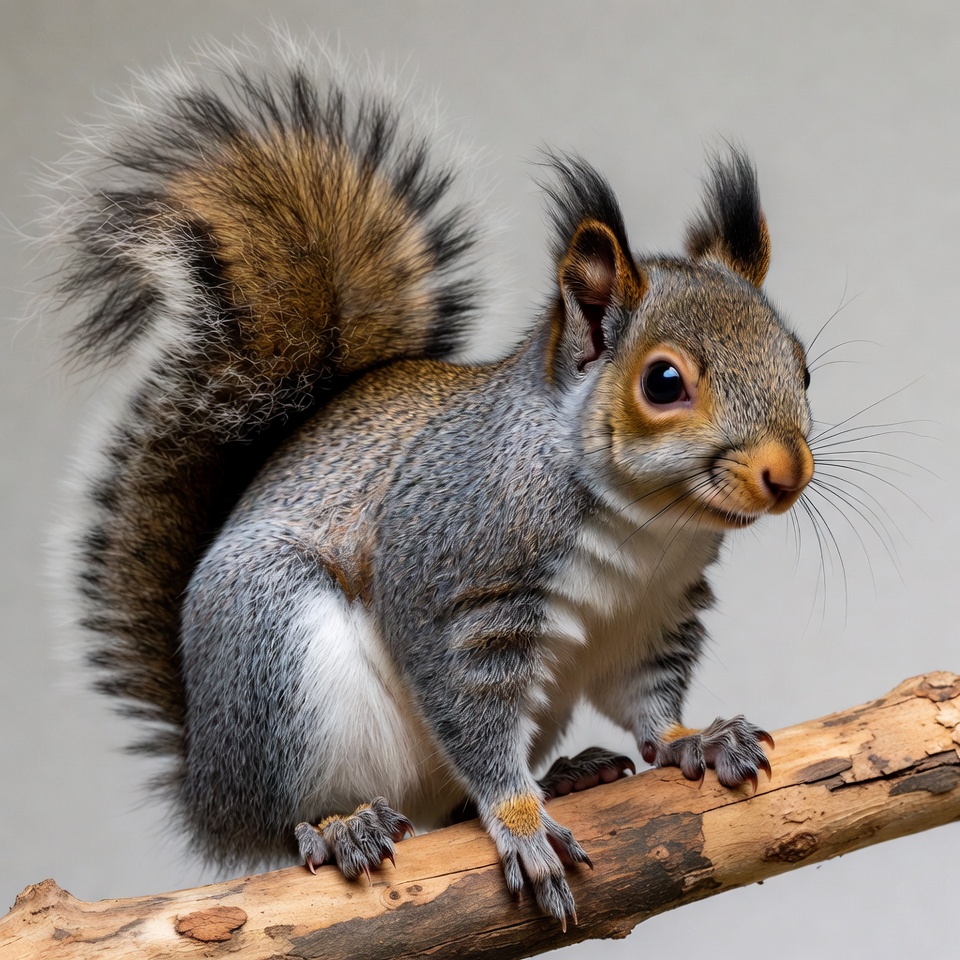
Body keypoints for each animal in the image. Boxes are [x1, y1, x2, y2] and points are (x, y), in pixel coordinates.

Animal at [50, 42, 814, 926]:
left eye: (802, 365)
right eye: (663, 382)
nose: (788, 473)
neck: (645, 529)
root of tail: (206, 784)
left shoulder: (651, 615)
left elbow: (647, 703)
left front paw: (697, 739)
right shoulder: (453, 586)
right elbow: (471, 720)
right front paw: (520, 821)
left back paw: (565, 774)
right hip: (271, 648)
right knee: (284, 822)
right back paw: (341, 826)